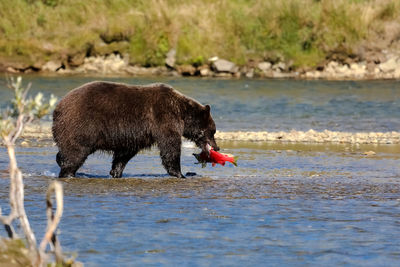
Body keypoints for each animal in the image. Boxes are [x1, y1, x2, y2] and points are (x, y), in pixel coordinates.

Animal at [52, 80, 220, 179]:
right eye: (213, 131)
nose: (217, 147)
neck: (182, 113)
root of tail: (58, 107)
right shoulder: (163, 118)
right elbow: (170, 146)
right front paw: (180, 173)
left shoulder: (136, 133)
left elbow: (125, 153)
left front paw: (116, 171)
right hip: (82, 125)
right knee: (76, 152)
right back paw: (68, 172)